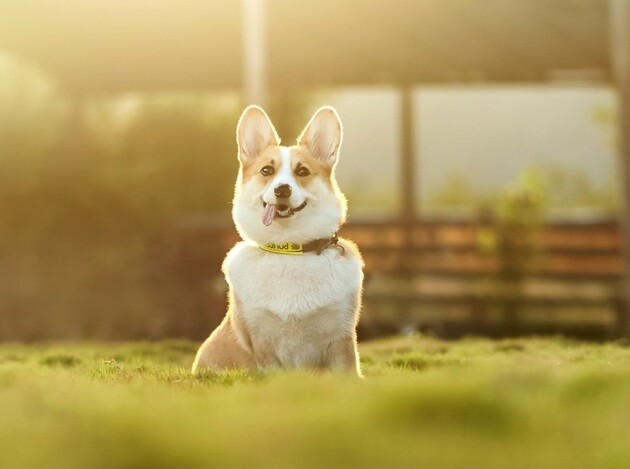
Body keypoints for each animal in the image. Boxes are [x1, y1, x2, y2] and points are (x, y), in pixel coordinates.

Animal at [195, 104, 368, 374]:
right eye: (267, 170)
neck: (289, 250)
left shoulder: (341, 339)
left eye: (302, 171)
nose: (282, 189)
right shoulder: (263, 344)